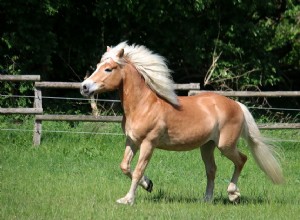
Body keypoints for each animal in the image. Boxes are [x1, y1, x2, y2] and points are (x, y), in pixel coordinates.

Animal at [79, 41, 284, 205]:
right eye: (97, 66)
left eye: (108, 69)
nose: (84, 87)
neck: (143, 104)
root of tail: (236, 104)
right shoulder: (132, 141)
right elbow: (125, 166)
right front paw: (148, 184)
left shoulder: (148, 143)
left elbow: (137, 170)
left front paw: (127, 200)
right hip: (207, 146)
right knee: (211, 170)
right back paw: (207, 199)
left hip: (225, 145)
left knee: (242, 159)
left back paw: (233, 194)